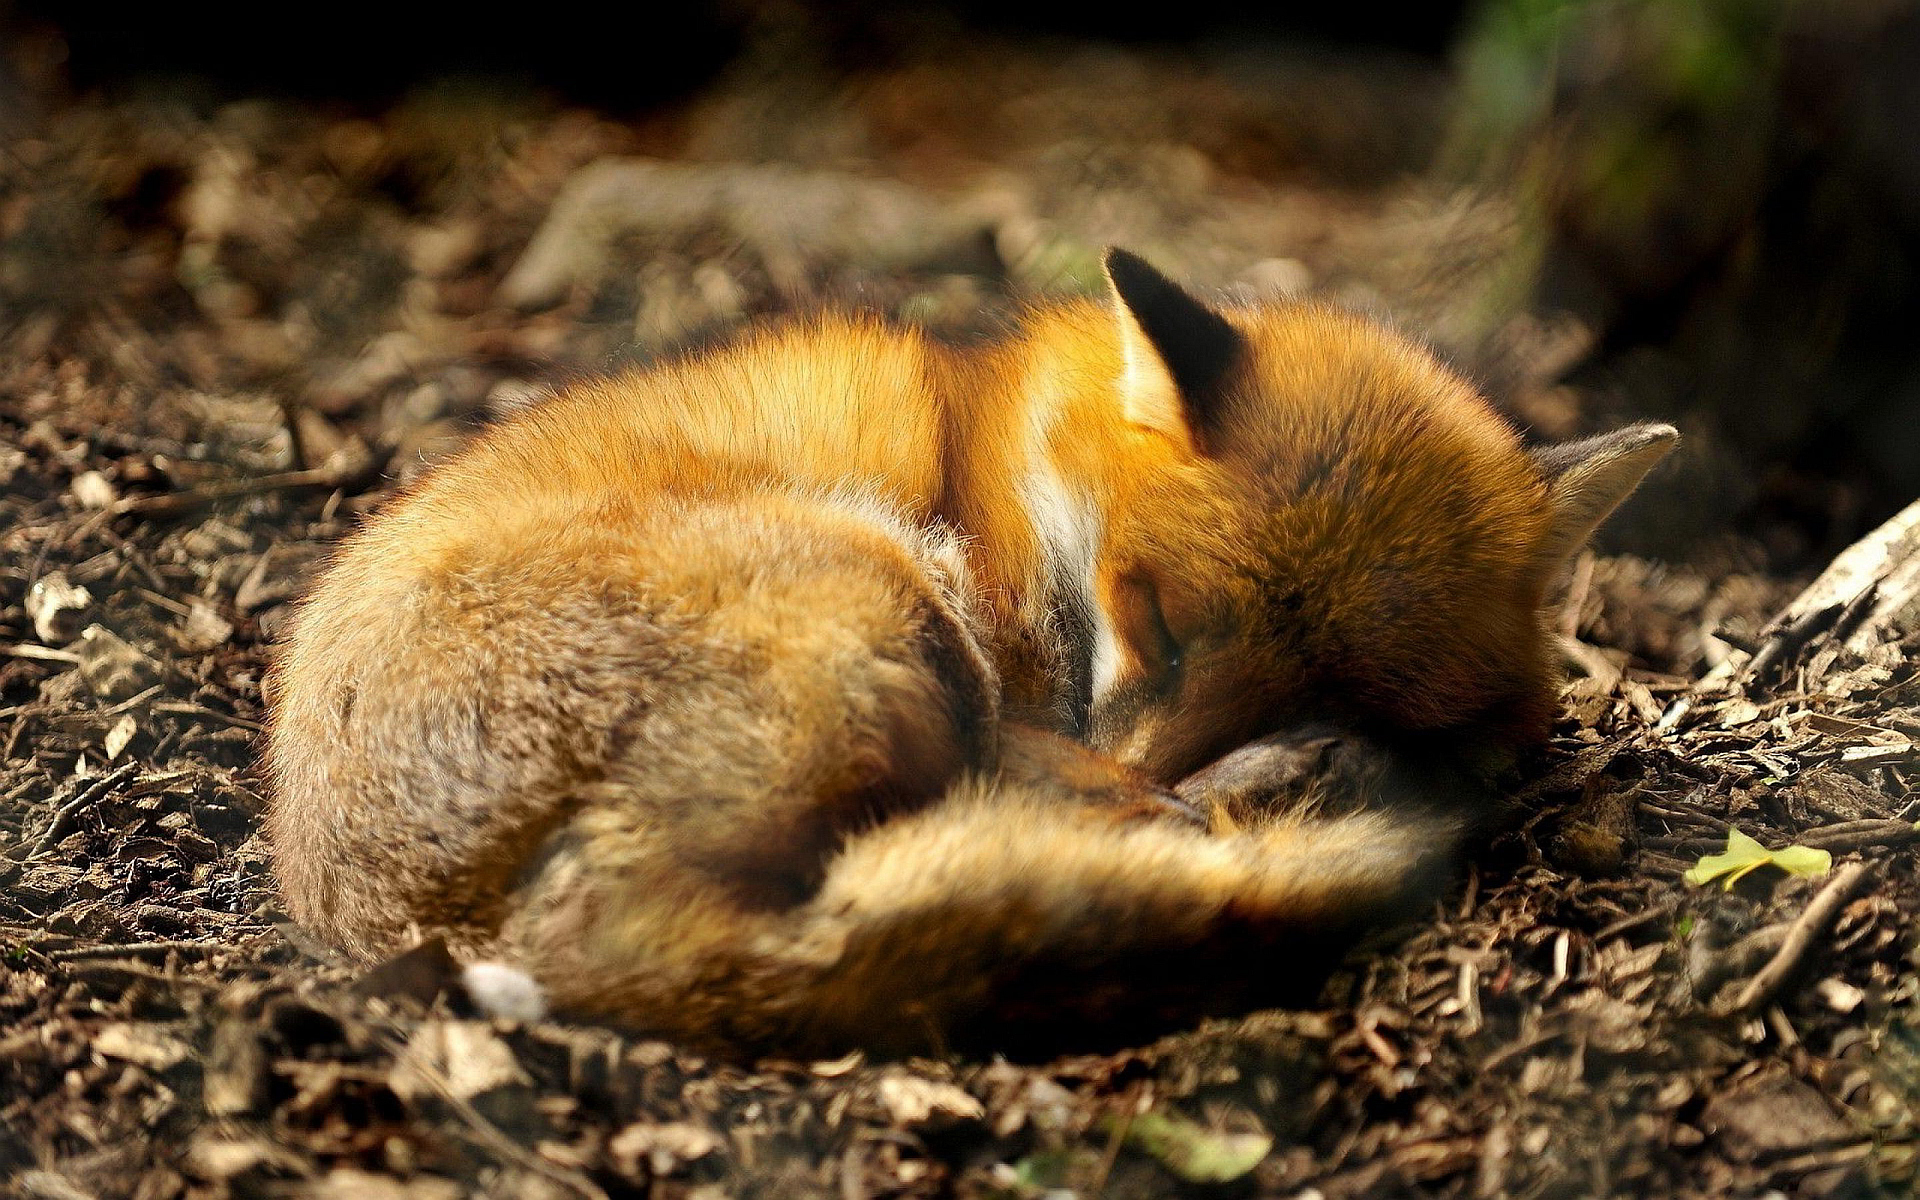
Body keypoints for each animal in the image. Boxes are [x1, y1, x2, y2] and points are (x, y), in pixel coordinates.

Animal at [264, 249, 1675, 1057]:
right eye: (1156, 619)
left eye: (1351, 680)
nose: (1166, 768)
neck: (1012, 472)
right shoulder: (1017, 664)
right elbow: (1056, 759)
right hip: (882, 595)